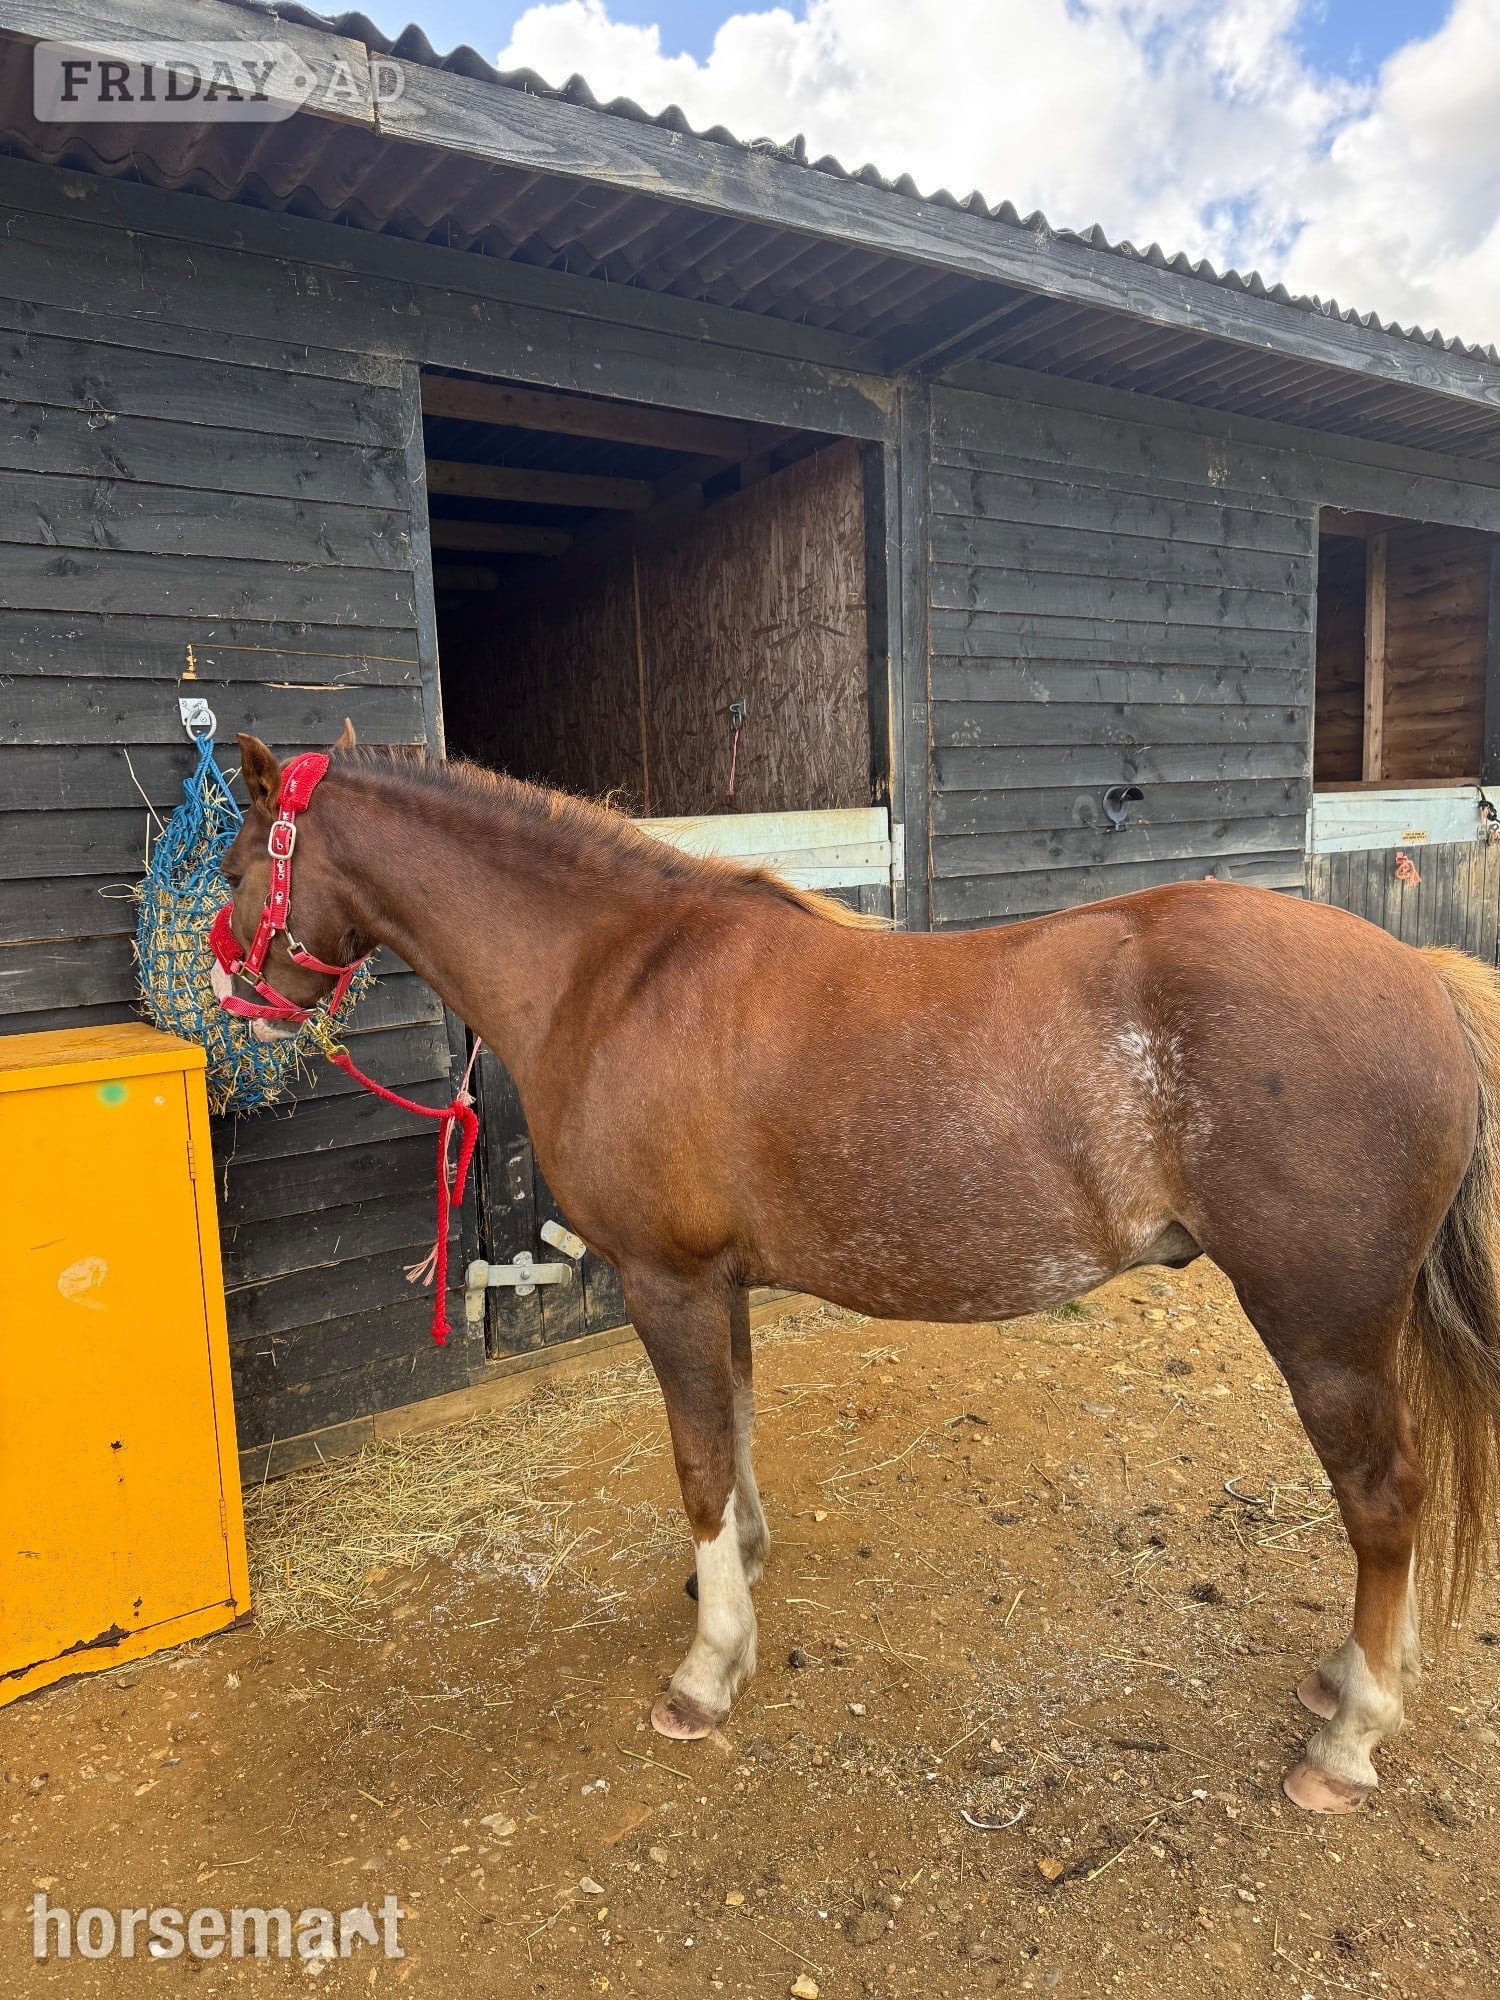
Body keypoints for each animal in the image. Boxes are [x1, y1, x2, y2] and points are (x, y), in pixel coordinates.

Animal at [217, 728, 1500, 1815]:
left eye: (231, 867)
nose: (237, 999)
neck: (615, 969)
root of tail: (1423, 976)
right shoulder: (718, 1282)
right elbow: (733, 1433)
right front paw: (736, 1577)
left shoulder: (666, 1281)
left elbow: (695, 1464)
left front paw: (705, 1673)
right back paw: (1349, 1677)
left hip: (1323, 1325)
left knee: (1384, 1500)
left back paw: (1347, 1739)